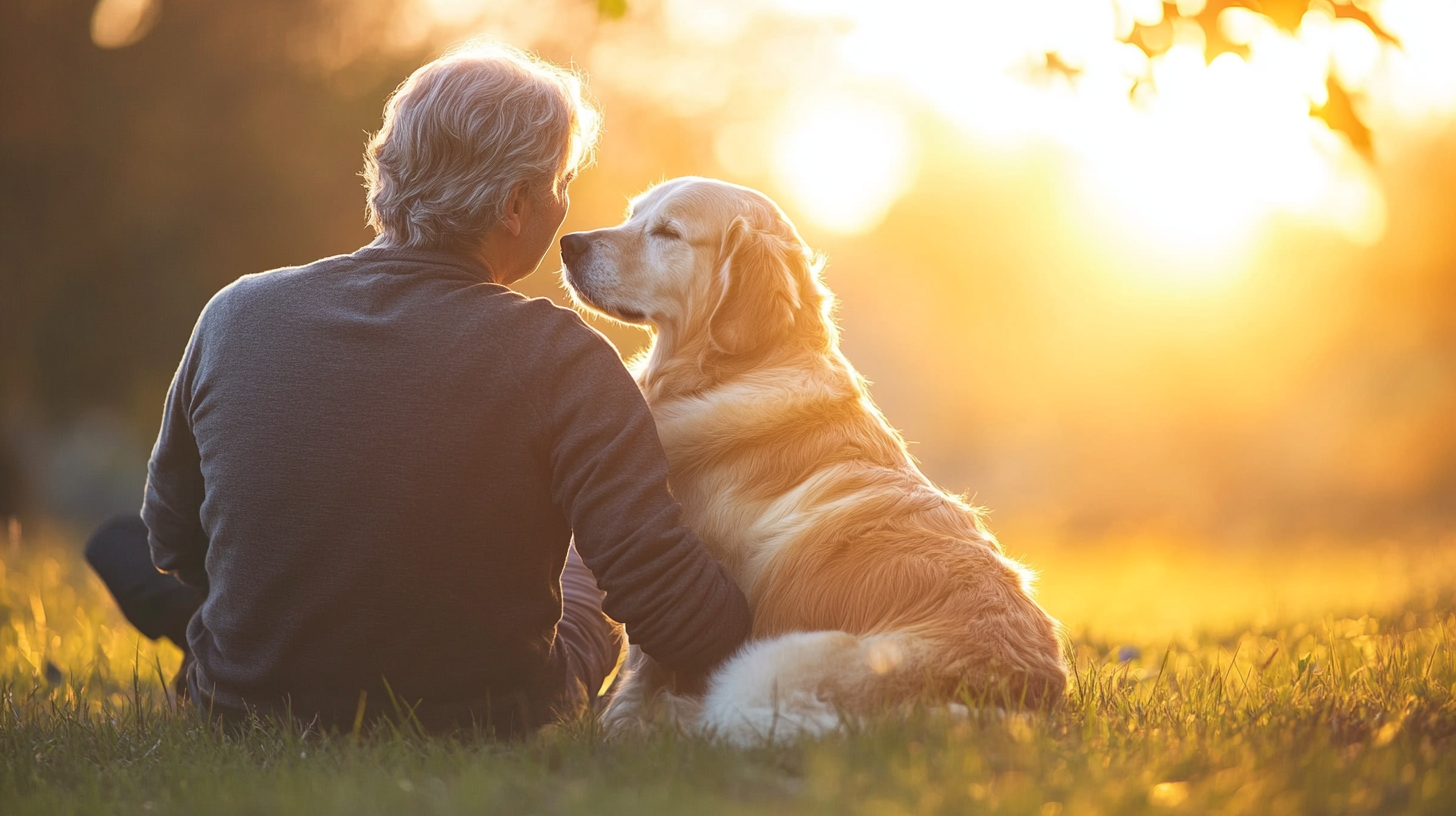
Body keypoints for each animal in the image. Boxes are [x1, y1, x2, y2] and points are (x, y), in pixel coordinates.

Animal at [556, 178, 1071, 746]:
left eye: (667, 232)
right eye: (632, 215)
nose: (569, 244)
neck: (741, 367)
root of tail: (1019, 695)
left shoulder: (677, 569)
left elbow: (641, 666)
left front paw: (617, 725)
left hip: (768, 665)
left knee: (736, 720)